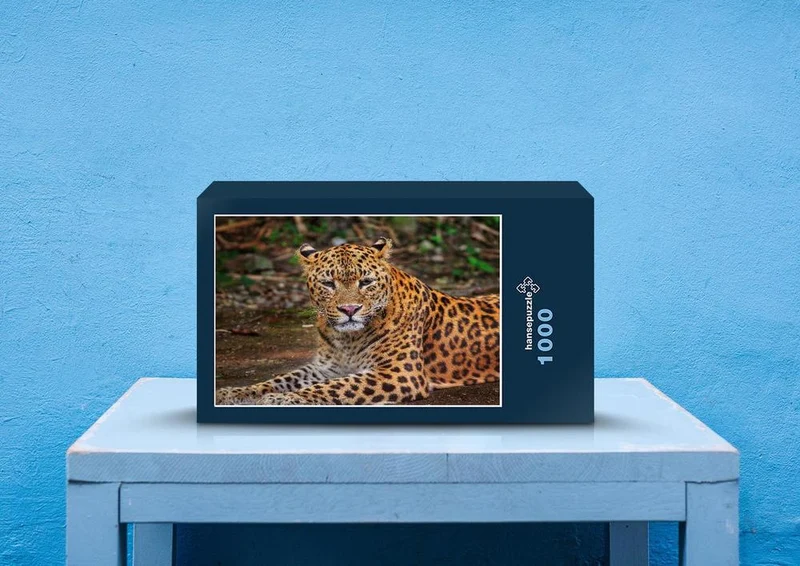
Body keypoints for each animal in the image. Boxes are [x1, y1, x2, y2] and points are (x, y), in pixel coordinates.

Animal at [215, 237, 500, 405]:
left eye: (366, 282)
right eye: (328, 283)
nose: (349, 309)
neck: (347, 340)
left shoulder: (400, 372)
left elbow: (336, 387)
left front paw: (281, 400)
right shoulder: (326, 367)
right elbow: (279, 379)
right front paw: (231, 393)